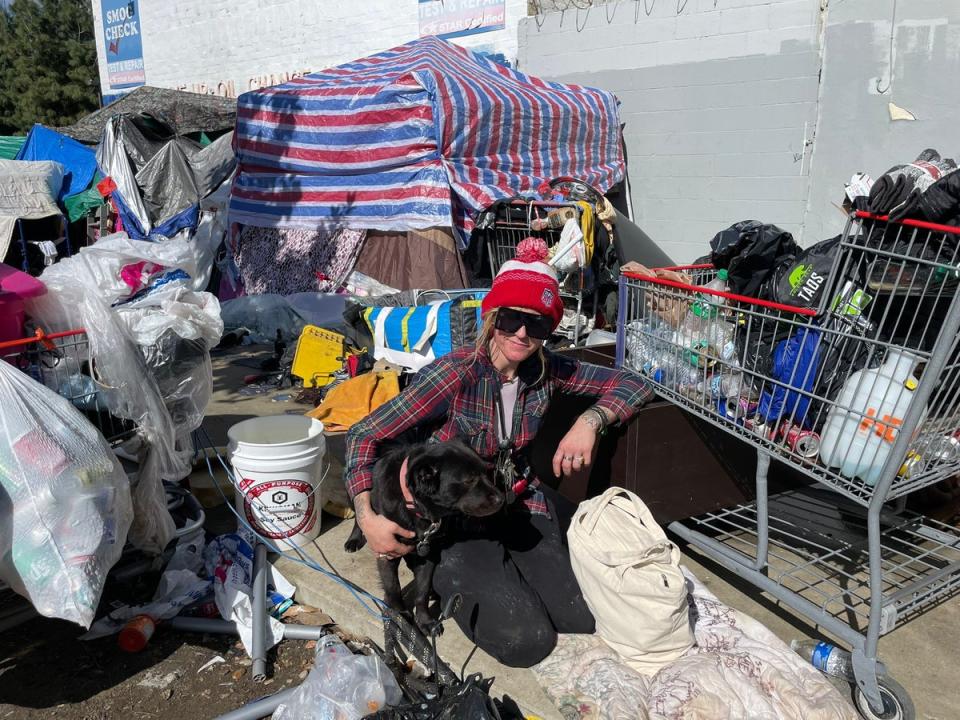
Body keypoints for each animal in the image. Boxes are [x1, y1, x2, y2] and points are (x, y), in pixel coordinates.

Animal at [344, 438, 506, 632]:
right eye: (469, 480)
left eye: (487, 472)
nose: (501, 499)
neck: (414, 505)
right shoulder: (386, 550)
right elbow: (393, 587)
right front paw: (401, 617)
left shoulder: (428, 553)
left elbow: (422, 590)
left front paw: (425, 620)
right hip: (354, 497)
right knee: (359, 517)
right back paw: (354, 539)